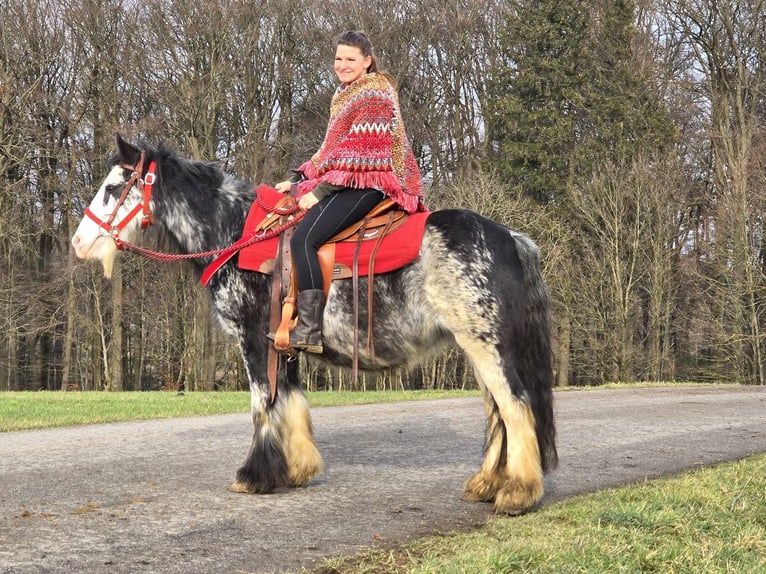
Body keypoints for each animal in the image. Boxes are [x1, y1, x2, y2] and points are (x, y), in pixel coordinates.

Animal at [72, 135, 560, 516]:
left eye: (113, 187)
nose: (78, 242)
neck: (236, 234)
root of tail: (511, 238)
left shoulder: (254, 341)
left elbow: (263, 406)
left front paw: (254, 475)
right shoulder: (283, 345)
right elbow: (291, 402)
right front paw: (297, 470)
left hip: (486, 344)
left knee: (515, 407)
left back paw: (517, 493)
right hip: (479, 346)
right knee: (498, 414)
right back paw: (487, 484)